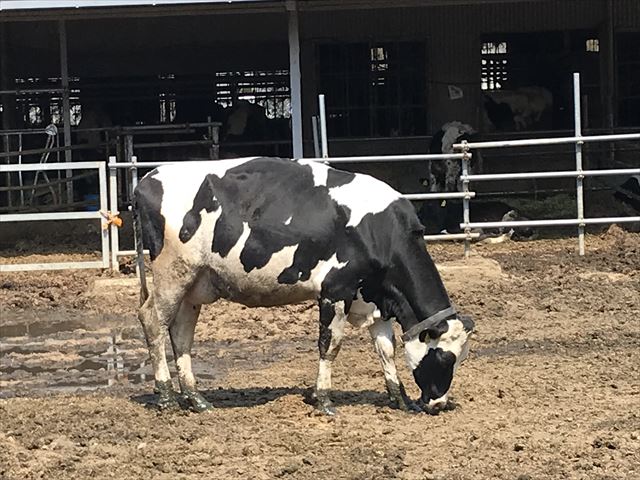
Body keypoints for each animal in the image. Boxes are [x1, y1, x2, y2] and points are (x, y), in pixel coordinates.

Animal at [134, 156, 476, 414]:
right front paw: (323, 399)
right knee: (152, 320)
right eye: (445, 357)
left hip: (194, 285)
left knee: (181, 334)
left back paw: (196, 398)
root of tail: (148, 178)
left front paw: (399, 397)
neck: (380, 231)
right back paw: (166, 396)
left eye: (461, 358)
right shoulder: (335, 290)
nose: (439, 403)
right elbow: (330, 345)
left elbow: (386, 349)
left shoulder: (374, 298)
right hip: (172, 274)